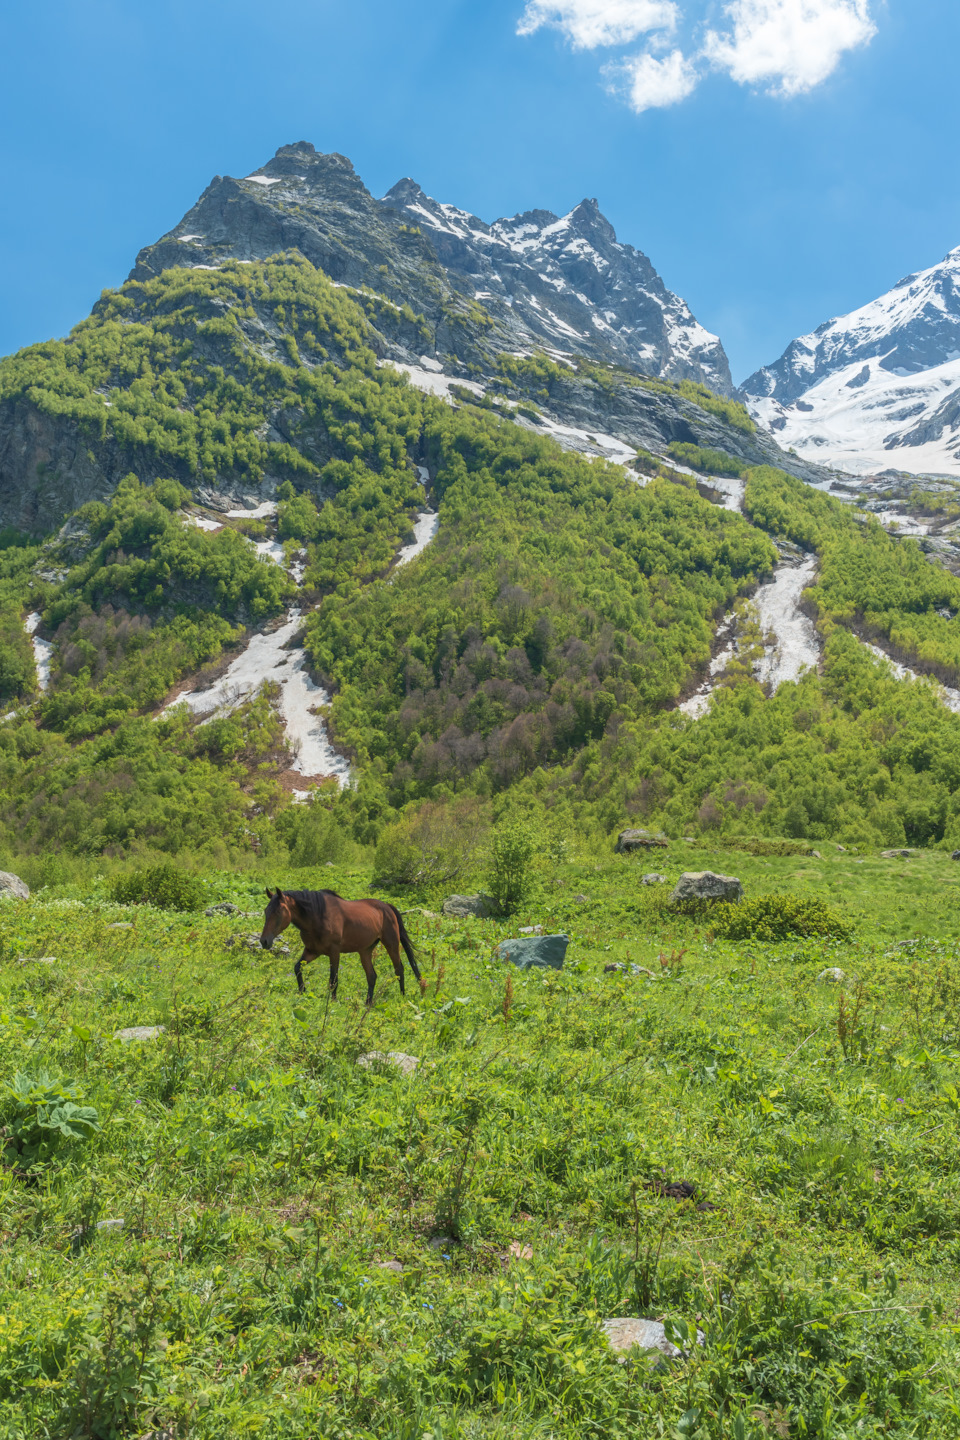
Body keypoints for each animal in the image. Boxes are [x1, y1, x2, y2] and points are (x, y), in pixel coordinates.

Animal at [263, 881, 428, 1008]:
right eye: (266, 911)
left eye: (278, 911)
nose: (264, 941)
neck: (317, 917)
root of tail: (387, 907)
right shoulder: (312, 951)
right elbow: (297, 968)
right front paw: (302, 992)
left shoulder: (334, 952)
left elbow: (333, 979)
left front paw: (333, 1002)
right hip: (365, 950)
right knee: (372, 976)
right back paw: (368, 1003)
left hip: (391, 944)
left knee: (399, 969)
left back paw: (402, 996)